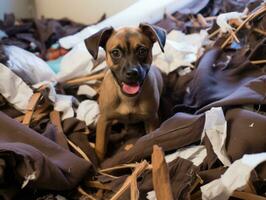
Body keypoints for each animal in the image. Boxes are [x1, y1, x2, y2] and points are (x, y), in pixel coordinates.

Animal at [85, 23, 166, 161]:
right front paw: (99, 164)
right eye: (115, 53)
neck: (128, 98)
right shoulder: (104, 121)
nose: (132, 73)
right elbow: (101, 148)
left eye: (142, 51)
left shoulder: (151, 120)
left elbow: (150, 141)